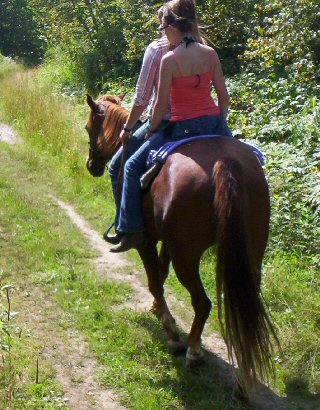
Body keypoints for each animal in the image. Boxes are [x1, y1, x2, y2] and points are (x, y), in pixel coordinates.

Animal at [84, 93, 278, 394]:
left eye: (88, 127)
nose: (91, 165)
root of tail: (225, 162)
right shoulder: (168, 241)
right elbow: (161, 273)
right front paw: (156, 307)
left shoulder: (147, 240)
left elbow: (154, 279)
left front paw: (171, 329)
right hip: (251, 252)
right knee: (245, 306)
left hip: (187, 256)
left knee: (203, 303)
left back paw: (193, 351)